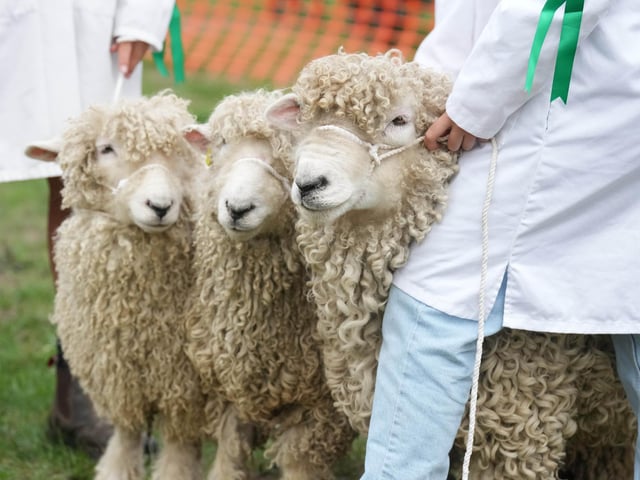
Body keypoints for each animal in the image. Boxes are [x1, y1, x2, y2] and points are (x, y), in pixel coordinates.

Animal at [183, 89, 355, 480]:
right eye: (220, 145)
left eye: (288, 152)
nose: (237, 208)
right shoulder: (227, 392)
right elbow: (228, 457)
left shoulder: (319, 409)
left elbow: (298, 464)